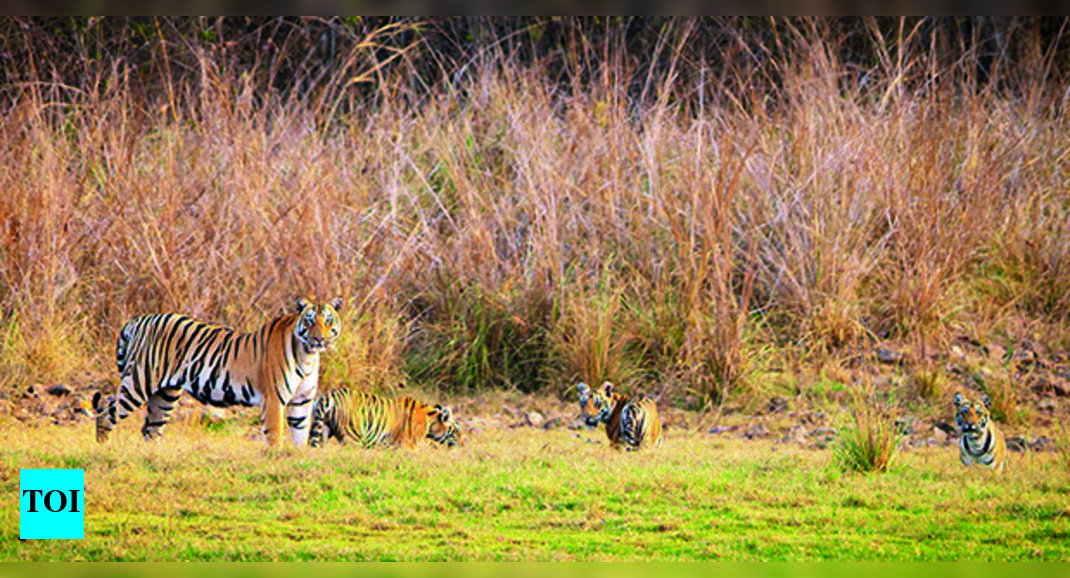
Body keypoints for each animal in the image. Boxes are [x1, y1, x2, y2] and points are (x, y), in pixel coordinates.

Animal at [92, 296, 343, 449]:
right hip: (139, 382)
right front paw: (277, 459)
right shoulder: (273, 399)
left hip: (165, 394)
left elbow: (301, 435)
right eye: (309, 322)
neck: (308, 355)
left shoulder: (301, 401)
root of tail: (136, 321)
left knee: (150, 429)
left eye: (328, 321)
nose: (319, 339)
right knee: (105, 413)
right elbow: (274, 435)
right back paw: (104, 449)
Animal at [308, 387, 462, 450]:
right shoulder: (409, 444)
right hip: (353, 437)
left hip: (322, 430)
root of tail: (327, 396)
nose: (462, 443)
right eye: (457, 431)